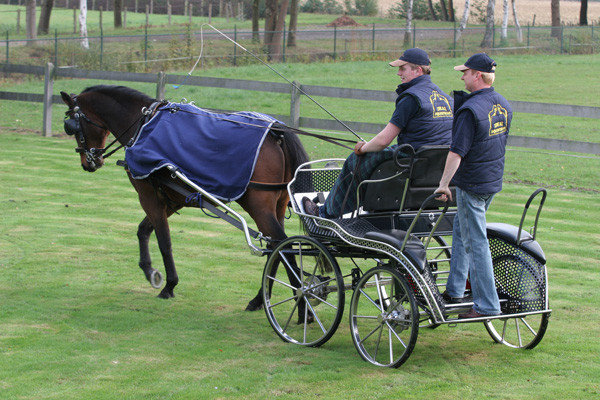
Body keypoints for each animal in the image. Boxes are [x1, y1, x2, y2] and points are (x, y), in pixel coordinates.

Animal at [59, 84, 310, 310]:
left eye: (71, 125)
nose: (88, 163)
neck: (144, 125)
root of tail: (276, 132)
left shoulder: (149, 197)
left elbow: (164, 241)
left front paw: (168, 284)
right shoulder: (171, 198)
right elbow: (143, 230)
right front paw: (150, 271)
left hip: (259, 206)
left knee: (283, 245)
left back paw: (302, 301)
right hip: (278, 205)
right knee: (275, 249)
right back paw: (260, 299)